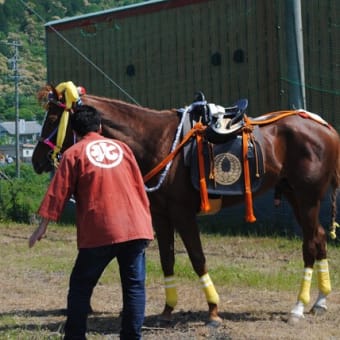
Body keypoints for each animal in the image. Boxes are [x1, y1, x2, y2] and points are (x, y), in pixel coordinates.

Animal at [31, 82, 340, 324]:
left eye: (53, 118)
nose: (36, 160)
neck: (157, 140)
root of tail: (324, 127)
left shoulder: (183, 213)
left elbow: (197, 257)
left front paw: (213, 309)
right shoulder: (160, 214)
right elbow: (167, 258)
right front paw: (168, 308)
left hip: (307, 197)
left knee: (310, 243)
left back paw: (298, 306)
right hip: (294, 195)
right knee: (319, 237)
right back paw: (320, 301)